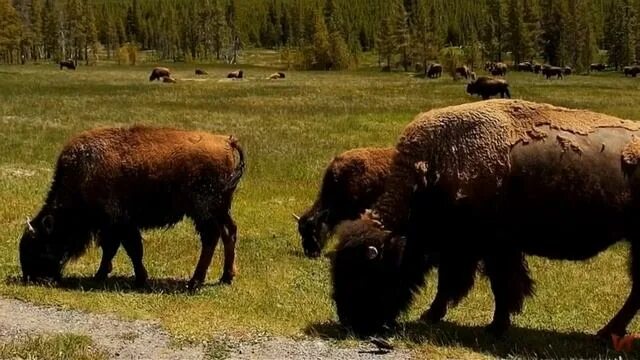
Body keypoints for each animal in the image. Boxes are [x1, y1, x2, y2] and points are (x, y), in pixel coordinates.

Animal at [19, 126, 245, 290]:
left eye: (38, 245)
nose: (33, 278)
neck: (82, 176)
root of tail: (227, 141)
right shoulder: (116, 227)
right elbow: (115, 250)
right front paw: (104, 274)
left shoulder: (119, 224)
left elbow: (129, 250)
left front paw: (137, 278)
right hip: (220, 210)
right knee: (229, 232)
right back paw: (225, 277)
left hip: (205, 212)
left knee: (211, 238)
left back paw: (195, 282)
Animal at [330, 99, 640, 340]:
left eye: (362, 274)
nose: (351, 322)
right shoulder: (468, 250)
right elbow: (458, 283)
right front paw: (434, 315)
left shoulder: (489, 249)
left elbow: (495, 286)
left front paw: (494, 327)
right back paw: (607, 332)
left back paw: (606, 332)